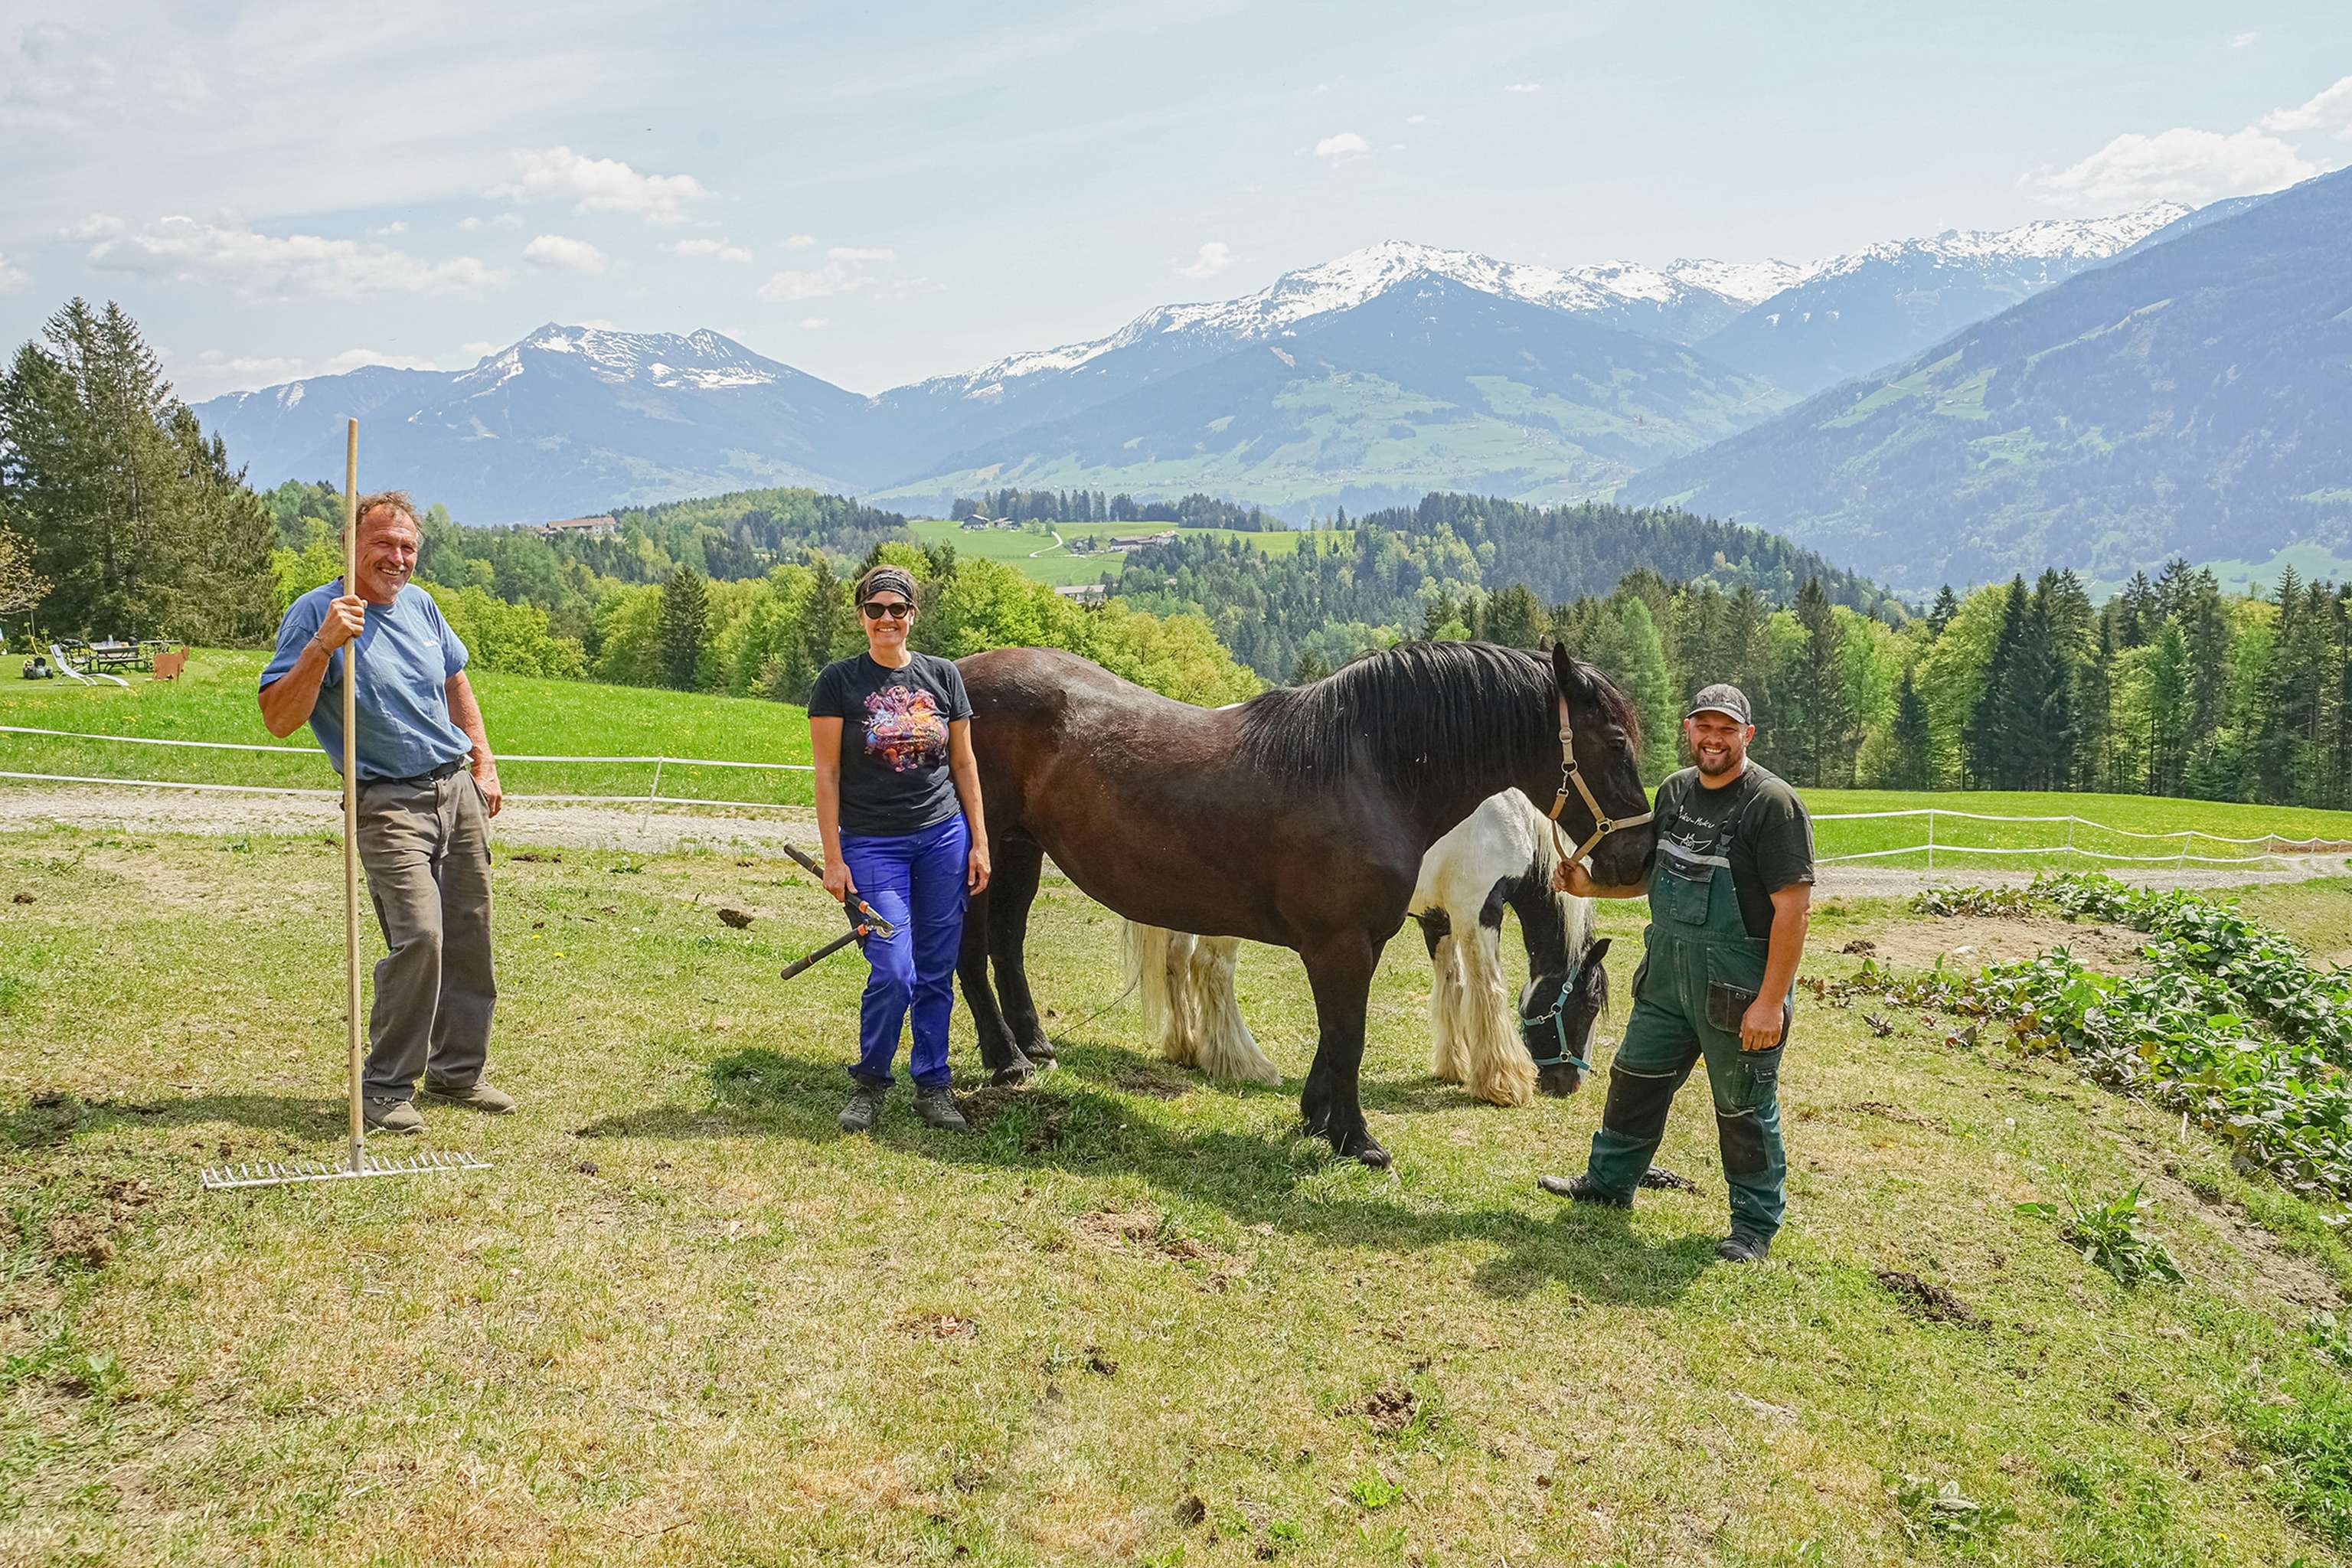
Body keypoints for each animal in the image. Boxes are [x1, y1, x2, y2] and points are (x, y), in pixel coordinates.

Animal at [1121, 790, 1615, 1106]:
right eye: (1589, 1007)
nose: (1568, 1084)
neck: (1508, 821)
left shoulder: (1438, 918)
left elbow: (1453, 987)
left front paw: (1454, 1065)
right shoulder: (1478, 908)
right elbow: (1487, 989)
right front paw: (1503, 1082)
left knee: (1177, 960)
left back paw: (1185, 1047)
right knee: (1211, 968)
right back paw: (1242, 1063)